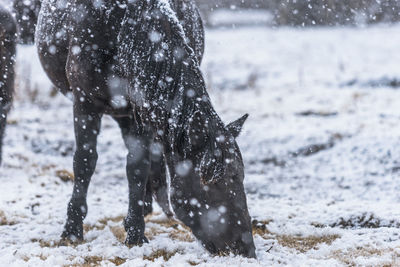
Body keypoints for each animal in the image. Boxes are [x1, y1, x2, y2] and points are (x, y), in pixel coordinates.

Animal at [37, 0, 256, 260]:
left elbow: (137, 167)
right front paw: (72, 229)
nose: (246, 249)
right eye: (211, 182)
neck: (120, 25)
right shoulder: (84, 103)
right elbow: (84, 162)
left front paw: (135, 233)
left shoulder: (141, 109)